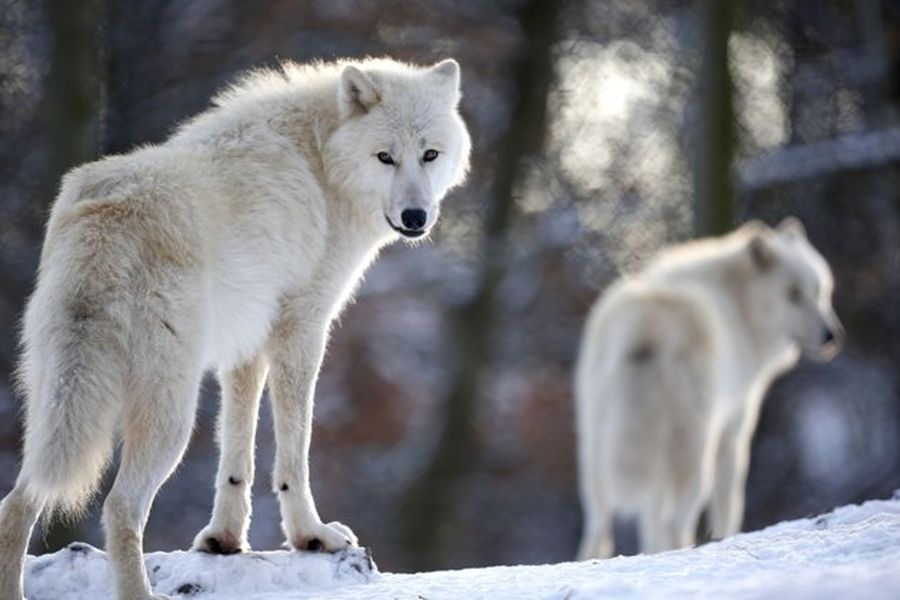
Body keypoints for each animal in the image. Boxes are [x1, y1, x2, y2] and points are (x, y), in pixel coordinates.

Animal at [0, 57, 474, 600]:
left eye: (430, 154)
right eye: (385, 158)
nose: (416, 217)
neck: (322, 160)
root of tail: (105, 220)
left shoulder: (246, 343)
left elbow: (236, 450)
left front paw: (223, 540)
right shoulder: (302, 327)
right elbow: (295, 449)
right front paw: (311, 536)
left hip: (56, 407)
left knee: (17, 502)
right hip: (170, 416)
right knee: (120, 507)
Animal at [576, 219, 844, 556]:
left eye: (820, 292)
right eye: (792, 295)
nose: (831, 336)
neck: (740, 304)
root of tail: (646, 325)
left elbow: (650, 519)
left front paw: (652, 550)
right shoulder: (734, 429)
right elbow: (729, 504)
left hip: (597, 452)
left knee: (599, 528)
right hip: (693, 453)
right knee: (674, 521)